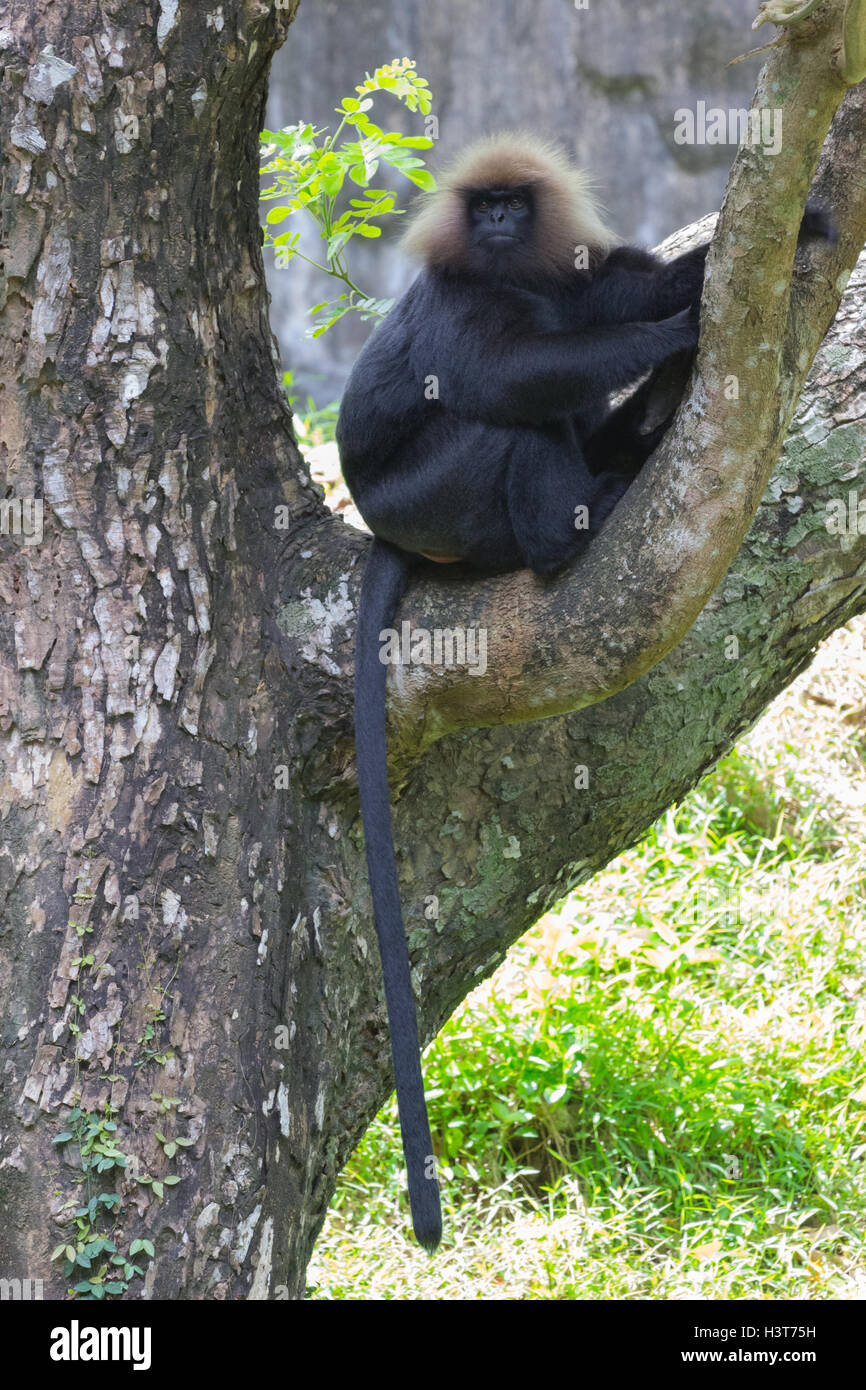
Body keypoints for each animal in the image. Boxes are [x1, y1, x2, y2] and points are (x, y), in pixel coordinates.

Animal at [335, 135, 839, 1256]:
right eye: (482, 206)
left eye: (513, 206)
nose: (492, 225)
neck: (514, 278)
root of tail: (384, 530)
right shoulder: (455, 305)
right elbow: (498, 373)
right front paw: (676, 333)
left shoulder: (571, 274)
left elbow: (628, 284)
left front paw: (783, 238)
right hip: (433, 503)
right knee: (508, 425)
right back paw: (576, 524)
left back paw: (633, 438)